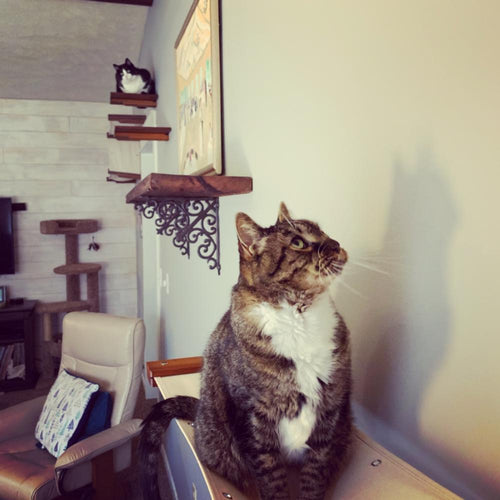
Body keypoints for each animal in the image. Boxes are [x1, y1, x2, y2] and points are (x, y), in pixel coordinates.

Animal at [139, 203, 354, 500]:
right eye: (298, 242)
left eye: (322, 232)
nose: (336, 244)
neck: (299, 314)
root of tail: (198, 411)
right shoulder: (251, 419)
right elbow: (271, 480)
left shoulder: (330, 412)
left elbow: (315, 475)